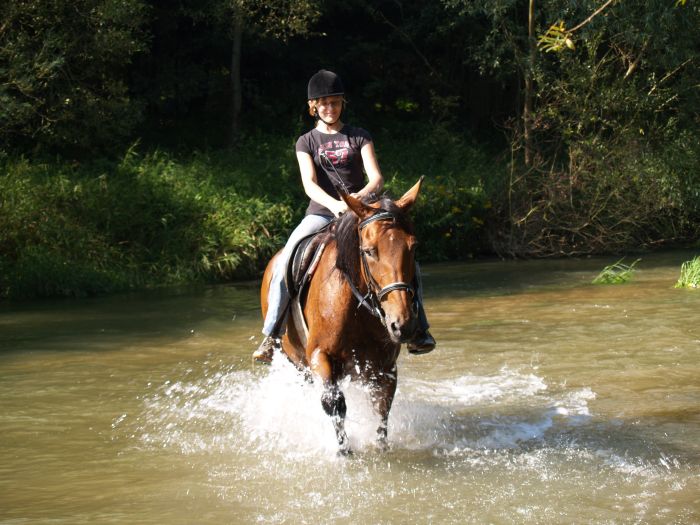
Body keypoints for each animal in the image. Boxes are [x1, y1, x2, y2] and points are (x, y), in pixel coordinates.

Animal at [260, 177, 424, 454]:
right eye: (368, 251)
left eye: (413, 247)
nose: (403, 325)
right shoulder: (319, 356)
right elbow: (334, 403)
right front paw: (343, 451)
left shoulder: (384, 367)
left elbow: (382, 409)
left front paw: (380, 449)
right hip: (297, 362)